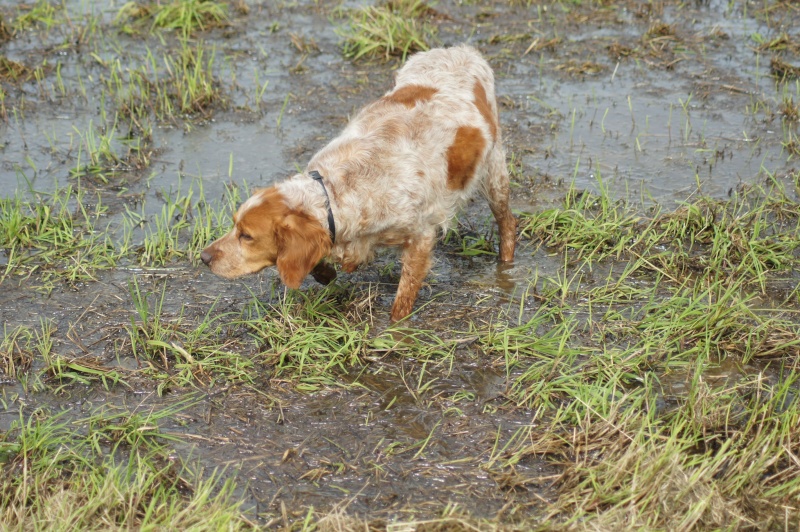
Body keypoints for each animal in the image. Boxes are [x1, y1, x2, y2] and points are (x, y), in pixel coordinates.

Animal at [200, 45, 520, 320]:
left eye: (247, 236)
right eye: (234, 225)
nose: (203, 257)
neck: (338, 189)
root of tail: (461, 49)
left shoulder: (420, 236)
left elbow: (403, 297)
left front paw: (394, 331)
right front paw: (327, 273)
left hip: (494, 171)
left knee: (507, 222)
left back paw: (506, 265)